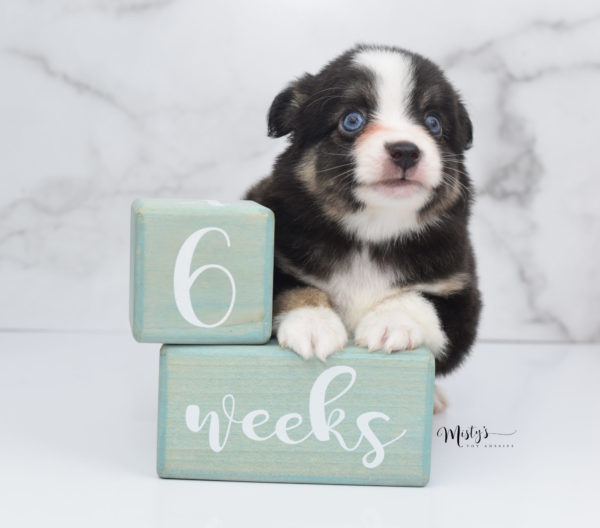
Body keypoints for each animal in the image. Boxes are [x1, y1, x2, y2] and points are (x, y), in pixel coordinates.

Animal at [245, 44, 482, 412]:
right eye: (352, 120)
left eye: (434, 123)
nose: (405, 151)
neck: (372, 234)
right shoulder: (279, 255)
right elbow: (290, 287)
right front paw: (313, 324)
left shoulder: (461, 292)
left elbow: (422, 301)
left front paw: (390, 324)